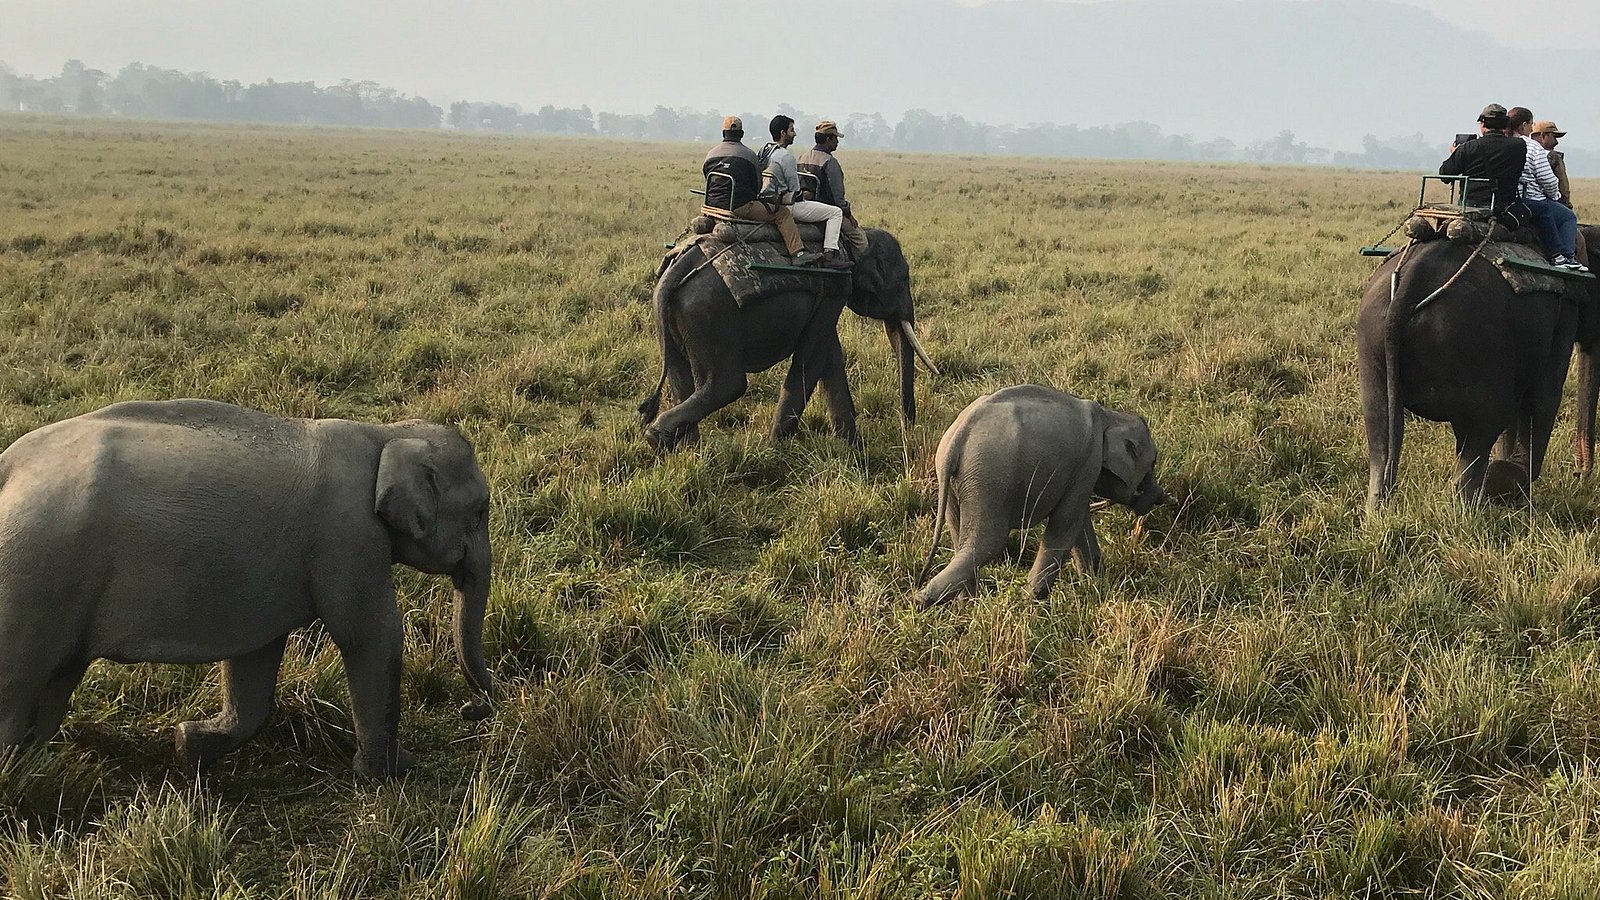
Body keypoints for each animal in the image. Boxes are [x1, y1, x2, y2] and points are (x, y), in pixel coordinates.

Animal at [0, 399, 495, 778]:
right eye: (480, 512)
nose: (473, 710)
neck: (384, 434)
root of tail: (8, 466)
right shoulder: (348, 538)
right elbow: (371, 636)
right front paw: (394, 772)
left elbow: (256, 658)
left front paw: (189, 745)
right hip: (32, 574)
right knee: (17, 685)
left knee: (55, 680)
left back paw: (35, 765)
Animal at [638, 228, 937, 452]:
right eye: (904, 278)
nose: (908, 427)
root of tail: (677, 267)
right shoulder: (834, 289)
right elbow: (811, 359)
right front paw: (774, 447)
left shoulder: (828, 298)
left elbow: (829, 358)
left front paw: (853, 448)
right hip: (710, 316)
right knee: (727, 385)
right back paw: (658, 437)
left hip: (677, 316)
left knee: (680, 380)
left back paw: (687, 450)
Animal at [916, 385, 1167, 606]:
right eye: (1153, 462)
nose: (1161, 497)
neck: (1110, 415)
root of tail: (959, 435)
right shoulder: (1087, 463)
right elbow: (1065, 524)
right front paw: (1032, 602)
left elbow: (1079, 523)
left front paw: (1094, 583)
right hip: (990, 479)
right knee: (987, 543)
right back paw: (923, 602)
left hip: (958, 483)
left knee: (963, 541)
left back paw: (965, 604)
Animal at [1357, 237, 1588, 506]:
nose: (1580, 474)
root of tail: (1408, 286)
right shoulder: (1566, 310)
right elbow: (1544, 396)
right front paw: (1513, 482)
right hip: (1472, 344)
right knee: (1480, 431)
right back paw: (1468, 507)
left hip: (1372, 337)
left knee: (1379, 428)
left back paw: (1377, 507)